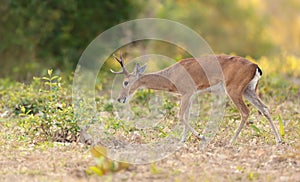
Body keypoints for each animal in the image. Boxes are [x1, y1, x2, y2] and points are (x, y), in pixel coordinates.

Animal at [109, 53, 282, 144]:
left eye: (125, 82)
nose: (120, 99)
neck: (172, 76)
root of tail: (256, 67)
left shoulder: (186, 92)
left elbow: (180, 116)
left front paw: (201, 136)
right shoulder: (191, 94)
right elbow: (186, 116)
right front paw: (183, 139)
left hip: (234, 89)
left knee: (245, 112)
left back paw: (231, 140)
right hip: (249, 90)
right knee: (265, 108)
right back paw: (279, 139)